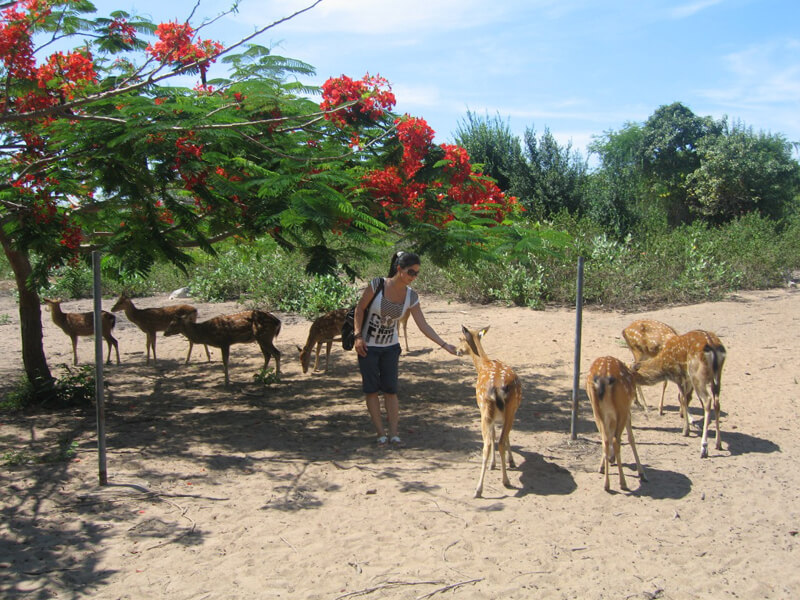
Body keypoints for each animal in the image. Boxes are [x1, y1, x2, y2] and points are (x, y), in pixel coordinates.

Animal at [456, 326, 524, 500]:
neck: (483, 365)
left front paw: (500, 463)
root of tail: (498, 389)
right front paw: (509, 461)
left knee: (488, 444)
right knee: (497, 441)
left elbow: (496, 436)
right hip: (505, 411)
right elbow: (501, 436)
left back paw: (480, 489)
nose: (457, 350)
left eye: (461, 338)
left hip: (485, 411)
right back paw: (503, 481)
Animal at [588, 356, 648, 492]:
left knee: (605, 440)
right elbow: (631, 438)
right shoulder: (627, 412)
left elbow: (608, 436)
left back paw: (606, 484)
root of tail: (603, 379)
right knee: (616, 440)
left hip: (595, 409)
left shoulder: (609, 416)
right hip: (622, 407)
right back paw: (623, 483)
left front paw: (604, 465)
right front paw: (642, 473)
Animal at [636, 330, 728, 458]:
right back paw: (718, 443)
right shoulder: (686, 379)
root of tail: (713, 346)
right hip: (717, 376)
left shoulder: (679, 375)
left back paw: (704, 448)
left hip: (697, 375)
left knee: (707, 400)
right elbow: (685, 398)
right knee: (717, 402)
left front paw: (685, 430)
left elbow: (683, 398)